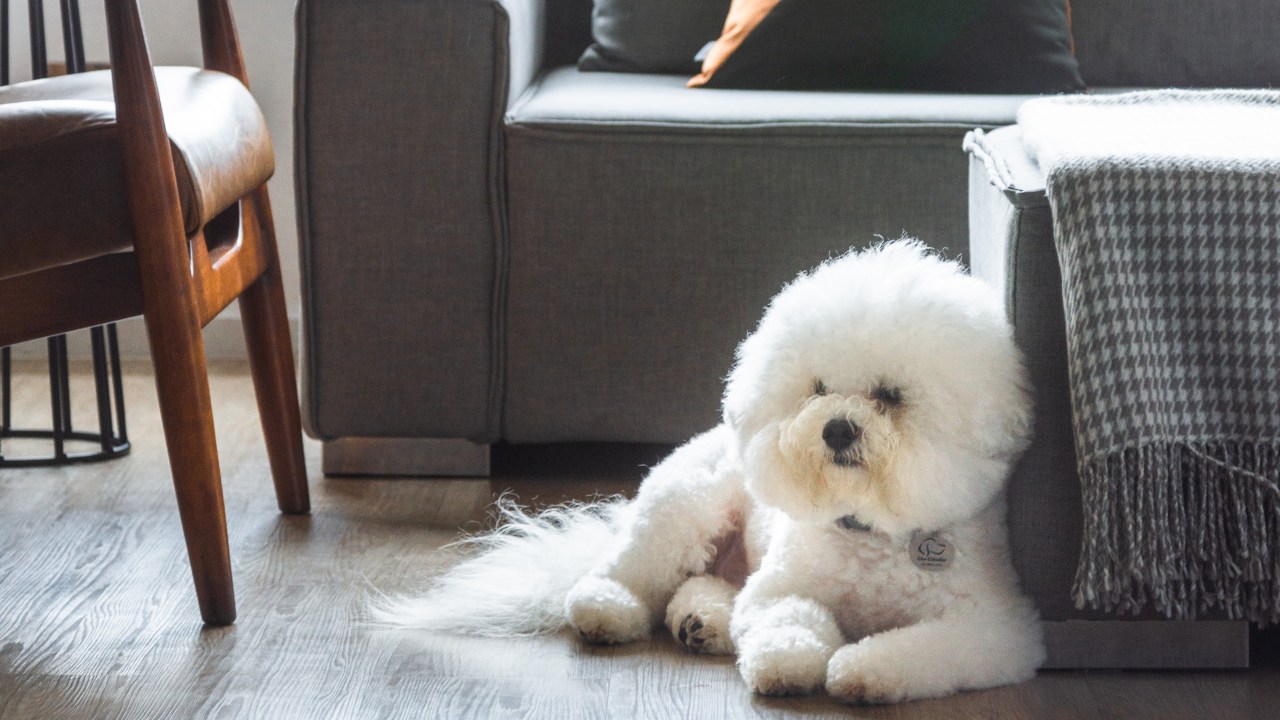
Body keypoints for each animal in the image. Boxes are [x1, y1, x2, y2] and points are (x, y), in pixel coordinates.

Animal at [384, 239, 1044, 702]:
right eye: (818, 389)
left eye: (890, 395)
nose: (836, 429)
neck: (870, 532)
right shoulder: (781, 588)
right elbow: (786, 617)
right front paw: (788, 660)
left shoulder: (995, 630)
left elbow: (920, 648)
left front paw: (864, 668)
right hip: (683, 508)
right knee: (630, 574)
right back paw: (613, 609)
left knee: (704, 586)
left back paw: (701, 621)